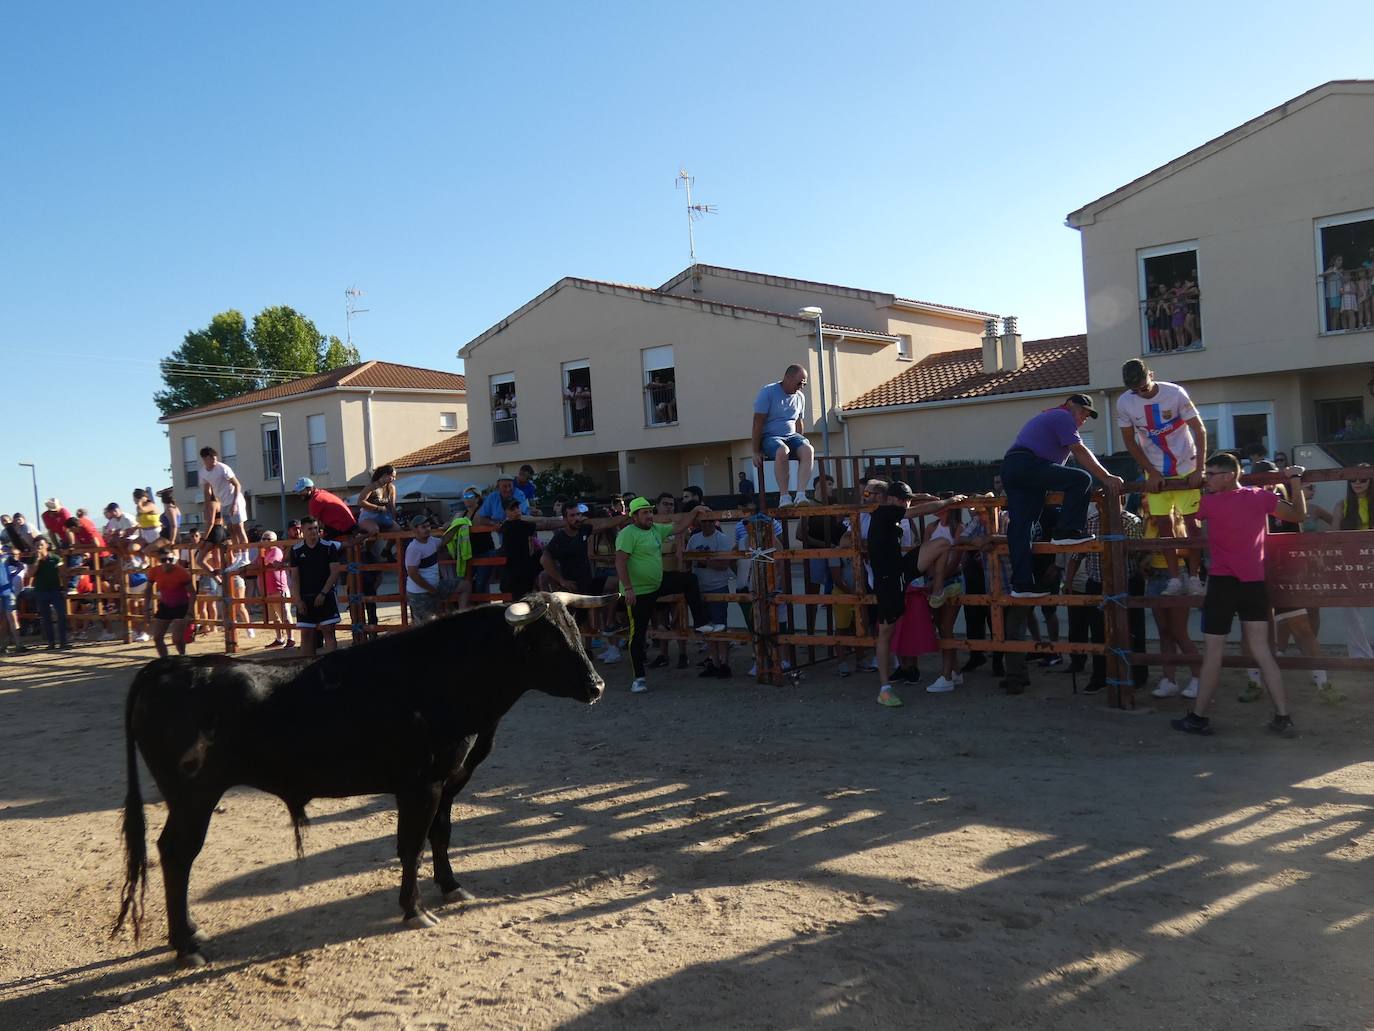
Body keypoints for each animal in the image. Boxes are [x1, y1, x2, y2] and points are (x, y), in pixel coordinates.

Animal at [115, 593, 610, 973]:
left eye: (575, 630)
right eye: (548, 642)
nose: (597, 686)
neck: (442, 678)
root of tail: (169, 669)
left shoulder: (449, 784)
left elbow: (441, 835)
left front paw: (451, 887)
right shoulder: (421, 787)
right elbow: (411, 845)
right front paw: (414, 909)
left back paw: (190, 934)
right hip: (193, 798)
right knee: (176, 854)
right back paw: (187, 945)